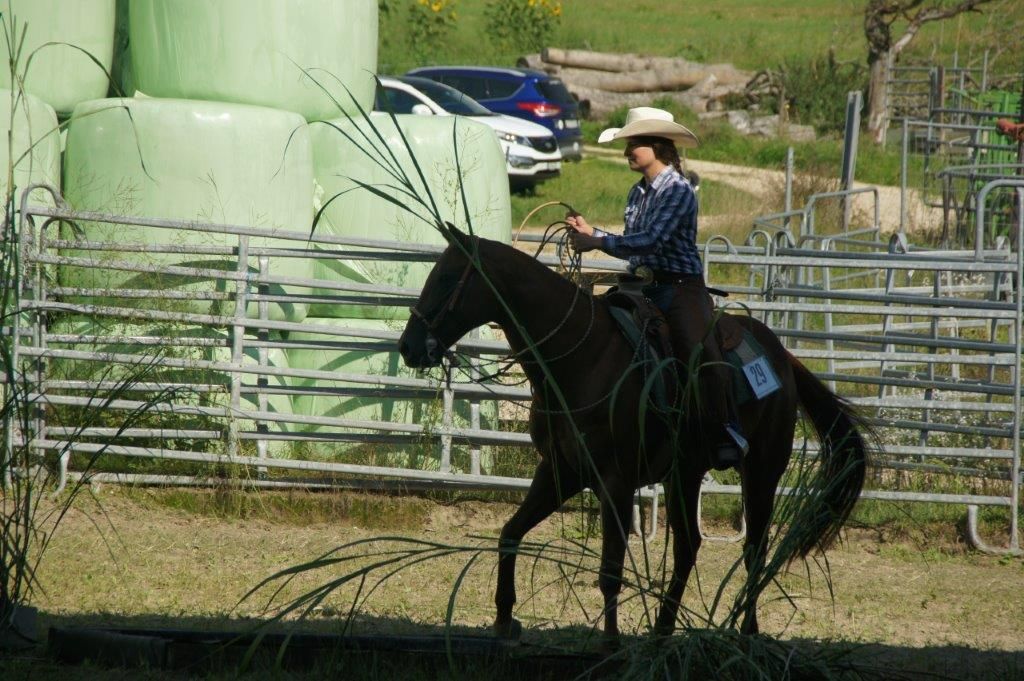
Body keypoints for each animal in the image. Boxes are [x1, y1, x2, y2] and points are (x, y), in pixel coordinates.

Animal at [398, 225, 871, 641]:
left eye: (445, 279)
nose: (407, 346)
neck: (582, 358)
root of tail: (782, 355)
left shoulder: (616, 481)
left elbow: (610, 570)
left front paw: (609, 643)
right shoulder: (561, 471)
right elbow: (510, 533)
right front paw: (503, 619)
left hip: (762, 470)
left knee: (754, 548)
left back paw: (746, 632)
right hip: (684, 474)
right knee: (688, 546)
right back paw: (662, 630)